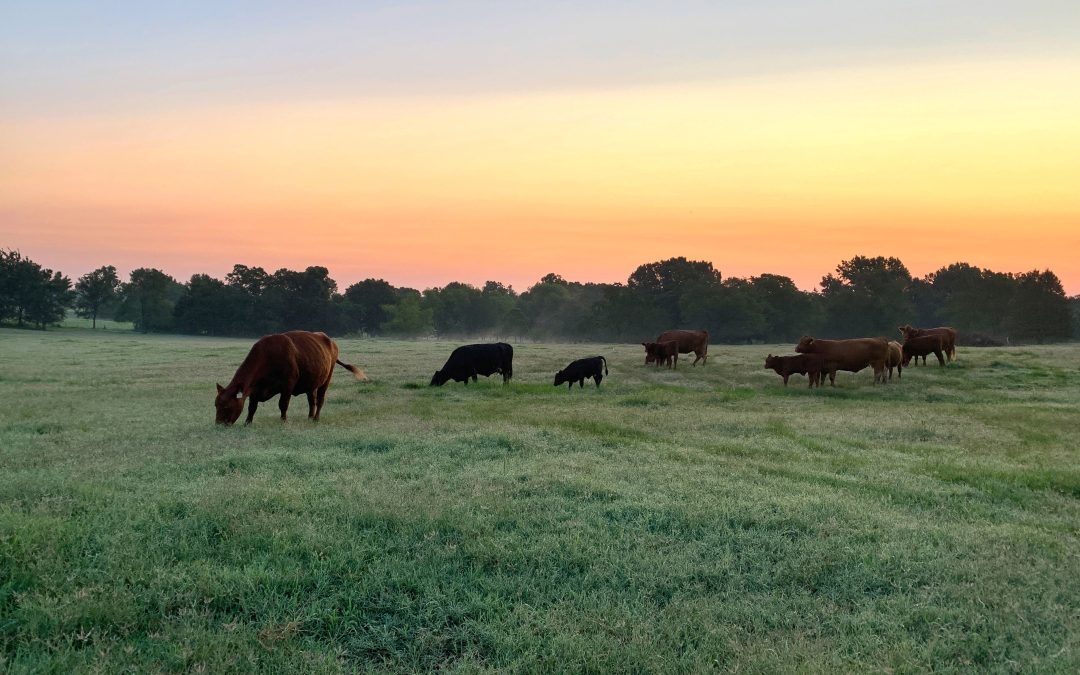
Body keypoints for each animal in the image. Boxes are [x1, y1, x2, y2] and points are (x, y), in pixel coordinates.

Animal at [214, 330, 367, 423]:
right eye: (216, 405)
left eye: (226, 407)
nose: (219, 424)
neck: (267, 356)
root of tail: (330, 341)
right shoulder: (255, 389)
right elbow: (252, 407)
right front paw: (247, 423)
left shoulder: (288, 385)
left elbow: (283, 404)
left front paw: (283, 421)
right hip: (311, 384)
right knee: (312, 401)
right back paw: (310, 417)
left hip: (326, 380)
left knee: (320, 400)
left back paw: (316, 418)